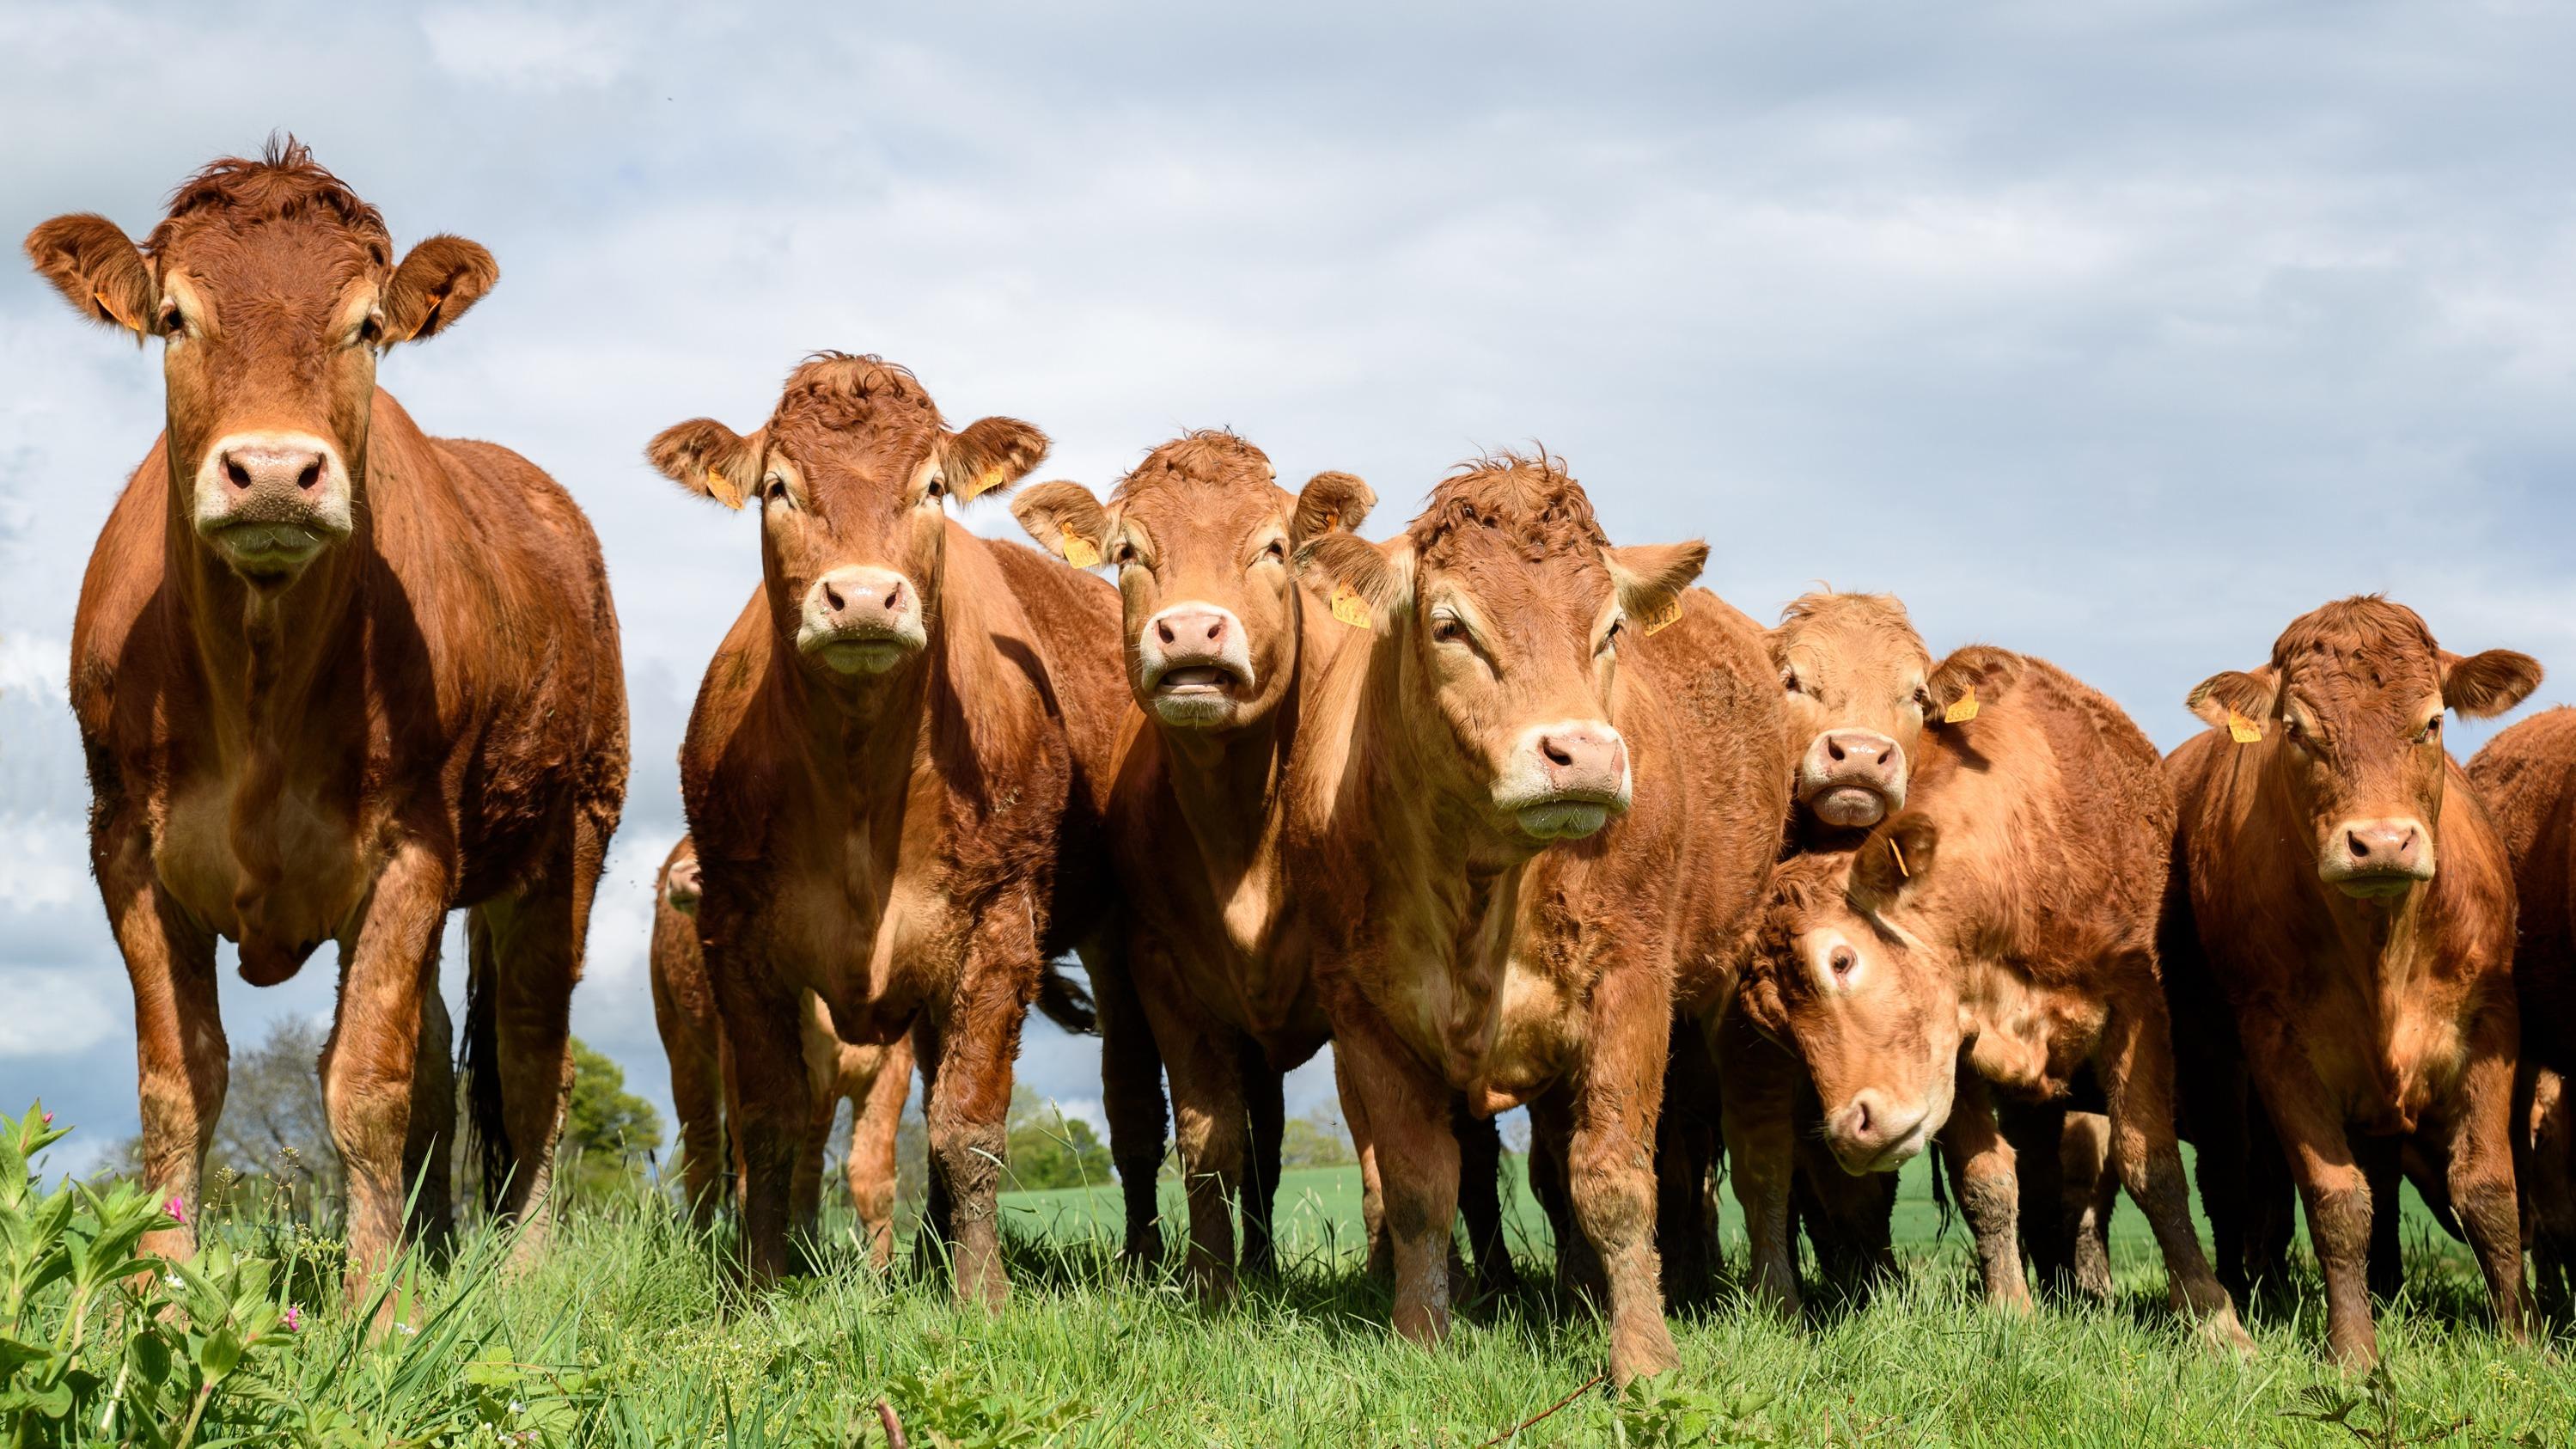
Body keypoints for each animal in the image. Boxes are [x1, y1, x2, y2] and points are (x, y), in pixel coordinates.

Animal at [26, 141, 628, 1289]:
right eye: (174, 317)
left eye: (367, 325)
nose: (272, 472)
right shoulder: (122, 846)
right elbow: (181, 1085)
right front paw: (155, 1295)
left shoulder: (410, 849)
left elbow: (365, 1089)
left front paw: (377, 1309)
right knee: (441, 1056)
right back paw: (431, 1246)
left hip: (567, 838)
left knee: (534, 1059)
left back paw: (517, 1275)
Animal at [644, 353, 1128, 1299]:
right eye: (778, 488)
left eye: (932, 485)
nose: (863, 597)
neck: (861, 779)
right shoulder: (736, 940)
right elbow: (768, 1125)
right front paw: (759, 1286)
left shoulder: (998, 930)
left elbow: (967, 1130)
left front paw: (981, 1298)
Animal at [1297, 456, 1782, 1382]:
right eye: (1449, 627)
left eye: (1610, 629)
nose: (1583, 753)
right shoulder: (1361, 1012)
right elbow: (1418, 1187)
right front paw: (1422, 1337)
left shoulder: (1632, 987)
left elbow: (1616, 1182)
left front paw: (1644, 1359)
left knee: (1751, 1161)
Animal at [1741, 650, 2246, 1351]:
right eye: (1775, 1025)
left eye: (1841, 960)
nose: (1851, 1130)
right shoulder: (1954, 1050)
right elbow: (1985, 1182)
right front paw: (2011, 1310)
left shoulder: (2137, 1005)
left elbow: (2154, 1168)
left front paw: (2215, 1319)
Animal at [2174, 593, 2535, 1361]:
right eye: (2297, 730)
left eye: (2431, 723)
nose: (2381, 843)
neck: (2381, 948)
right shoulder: (2275, 1041)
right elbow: (2336, 1200)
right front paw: (2355, 1354)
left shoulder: (2493, 1021)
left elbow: (2490, 1191)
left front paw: (2522, 1342)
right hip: (2215, 1067)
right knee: (2233, 1186)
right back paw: (2250, 1296)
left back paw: (2386, 1289)